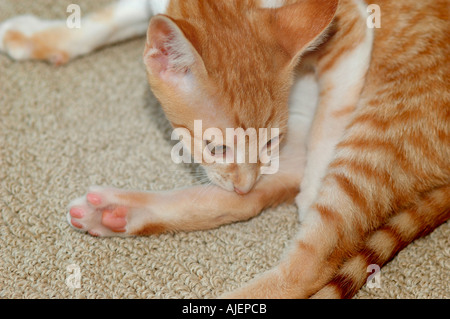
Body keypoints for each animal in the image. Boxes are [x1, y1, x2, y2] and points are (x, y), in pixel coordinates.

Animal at [2, 0, 446, 300]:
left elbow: (333, 113)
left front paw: (311, 189)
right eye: (216, 147)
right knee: (255, 200)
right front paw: (49, 36)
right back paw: (118, 211)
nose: (244, 182)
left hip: (379, 136)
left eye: (270, 141)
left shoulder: (353, 27)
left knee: (310, 263)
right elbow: (115, 17)